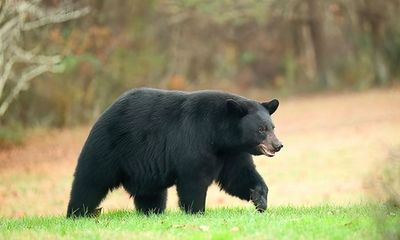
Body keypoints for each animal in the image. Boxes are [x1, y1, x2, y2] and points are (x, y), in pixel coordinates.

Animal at [66, 88, 282, 218]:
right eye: (261, 129)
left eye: (272, 127)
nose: (278, 145)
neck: (219, 134)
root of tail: (105, 113)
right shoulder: (195, 140)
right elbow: (194, 180)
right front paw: (196, 212)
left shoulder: (231, 153)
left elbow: (239, 176)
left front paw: (260, 200)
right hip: (108, 149)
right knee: (90, 181)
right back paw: (77, 213)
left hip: (144, 169)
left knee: (151, 193)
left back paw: (152, 213)